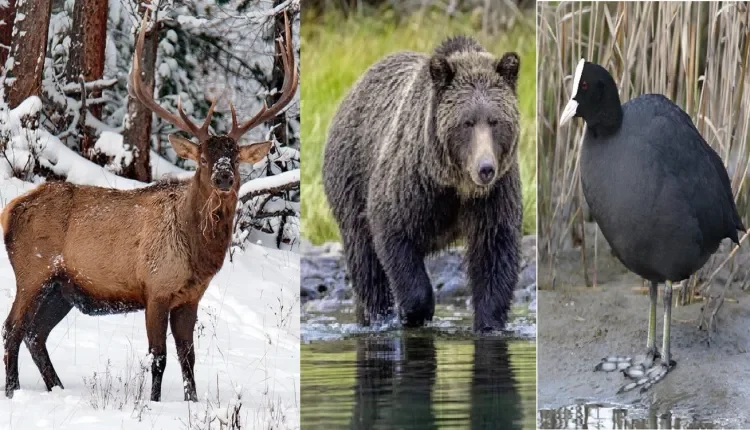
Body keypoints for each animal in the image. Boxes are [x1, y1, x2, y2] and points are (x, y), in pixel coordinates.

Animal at [0, 10, 300, 404]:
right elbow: (158, 356)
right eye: (203, 158)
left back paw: (57, 388)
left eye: (235, 158)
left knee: (36, 334)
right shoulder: (155, 288)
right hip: (32, 271)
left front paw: (192, 401)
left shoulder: (190, 298)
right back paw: (13, 391)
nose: (223, 176)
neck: (197, 253)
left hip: (60, 289)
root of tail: (9, 210)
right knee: (12, 328)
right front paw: (154, 402)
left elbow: (188, 355)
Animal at [324, 36, 524, 332]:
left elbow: (495, 255)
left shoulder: (494, 197)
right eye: (466, 122)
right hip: (351, 180)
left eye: (495, 121)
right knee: (366, 264)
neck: (455, 185)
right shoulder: (412, 186)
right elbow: (393, 234)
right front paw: (413, 313)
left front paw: (489, 323)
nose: (485, 168)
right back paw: (376, 317)